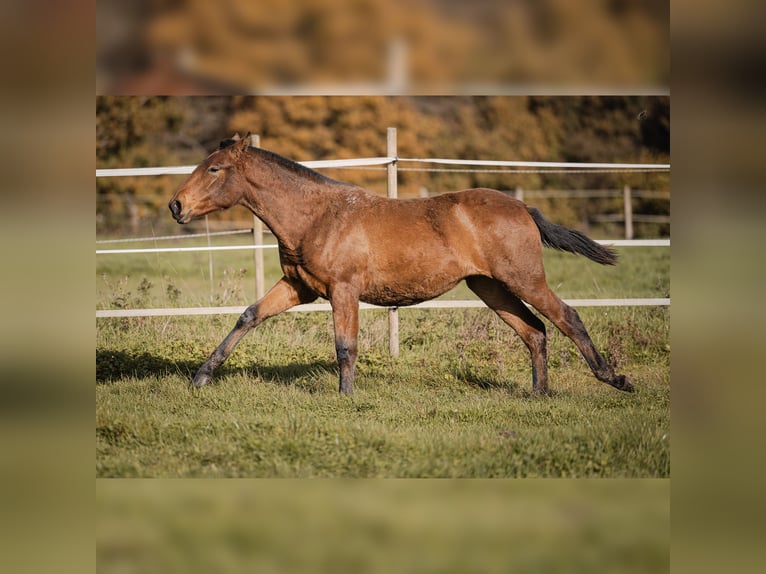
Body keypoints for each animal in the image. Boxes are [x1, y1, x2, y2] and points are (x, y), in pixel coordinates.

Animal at [170, 134, 636, 396]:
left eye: (214, 169)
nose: (176, 205)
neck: (317, 217)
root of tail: (522, 207)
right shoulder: (298, 288)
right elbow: (248, 316)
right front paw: (200, 378)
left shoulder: (343, 290)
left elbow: (345, 346)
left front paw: (346, 396)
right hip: (489, 287)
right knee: (535, 331)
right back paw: (539, 394)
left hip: (524, 279)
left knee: (566, 317)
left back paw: (616, 380)